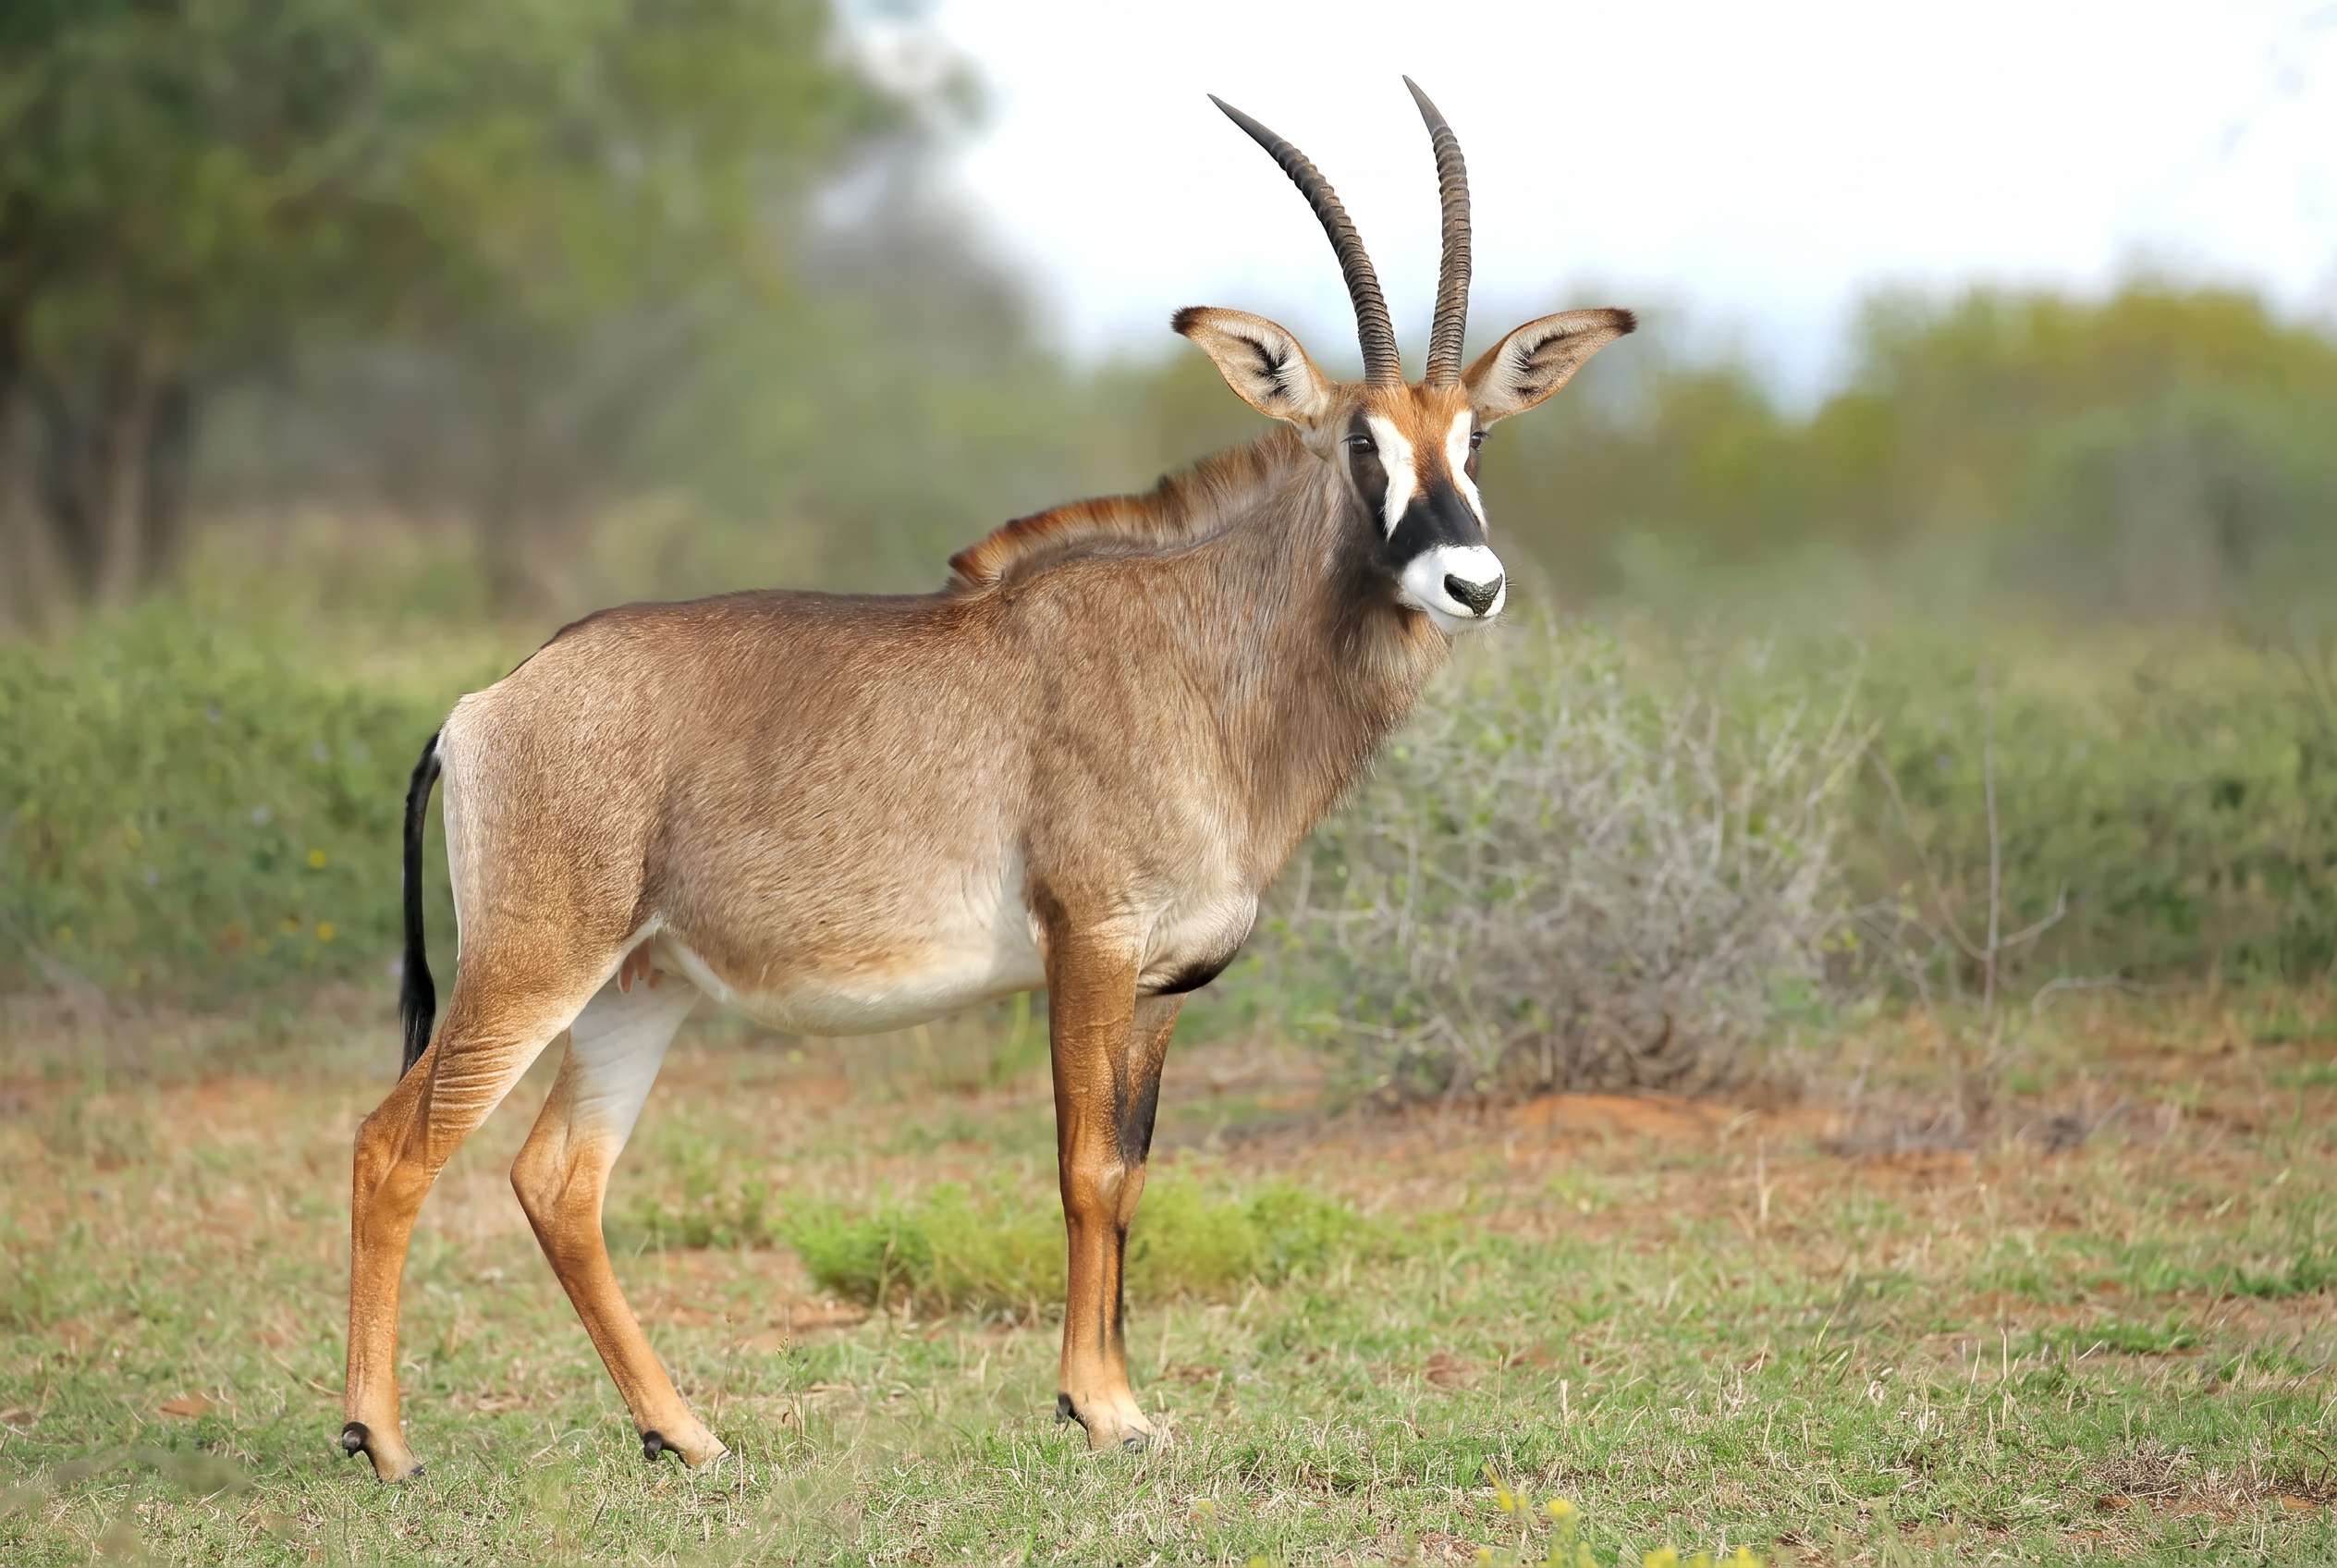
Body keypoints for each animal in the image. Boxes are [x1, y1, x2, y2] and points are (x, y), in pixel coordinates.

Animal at [339, 79, 1632, 1480]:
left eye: (1476, 436)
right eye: (1358, 442)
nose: (1470, 583)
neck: (1201, 650)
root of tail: (482, 707)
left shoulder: (1164, 983)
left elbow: (1131, 1169)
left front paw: (1115, 1396)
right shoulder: (1089, 943)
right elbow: (1082, 1168)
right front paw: (1099, 1405)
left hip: (637, 986)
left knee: (559, 1180)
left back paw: (683, 1433)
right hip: (534, 964)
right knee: (394, 1144)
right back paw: (382, 1439)